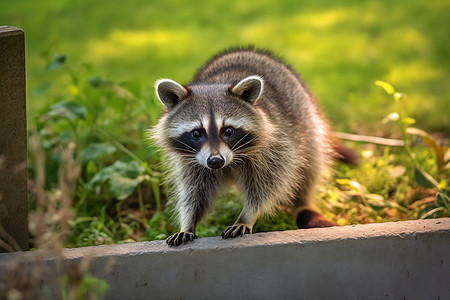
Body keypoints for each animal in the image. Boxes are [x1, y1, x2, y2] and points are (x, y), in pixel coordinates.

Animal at [151, 48, 334, 246]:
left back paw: (302, 203)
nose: (215, 161)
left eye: (228, 131)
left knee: (309, 168)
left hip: (307, 123)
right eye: (196, 133)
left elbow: (268, 184)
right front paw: (188, 222)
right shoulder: (191, 161)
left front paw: (247, 216)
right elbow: (194, 191)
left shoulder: (277, 143)